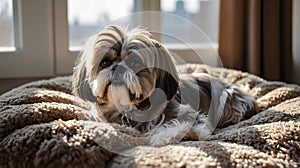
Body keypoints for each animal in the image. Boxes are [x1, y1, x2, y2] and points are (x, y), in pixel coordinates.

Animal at [72, 25, 255, 147]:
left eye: (135, 63)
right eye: (105, 63)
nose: (117, 67)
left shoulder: (189, 113)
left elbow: (181, 126)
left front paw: (166, 136)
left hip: (225, 99)